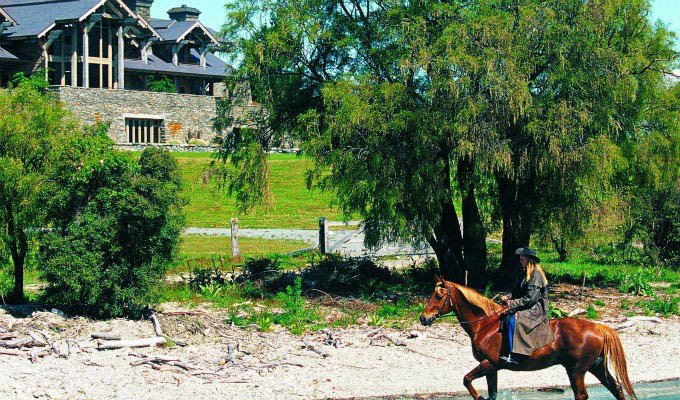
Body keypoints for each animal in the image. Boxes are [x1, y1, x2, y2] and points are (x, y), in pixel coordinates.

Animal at [420, 276, 636, 400]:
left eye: (438, 296)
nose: (423, 318)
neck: (485, 325)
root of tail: (598, 327)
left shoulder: (489, 363)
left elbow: (466, 380)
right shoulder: (492, 368)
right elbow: (491, 394)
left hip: (577, 370)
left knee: (582, 395)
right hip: (594, 367)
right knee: (616, 388)